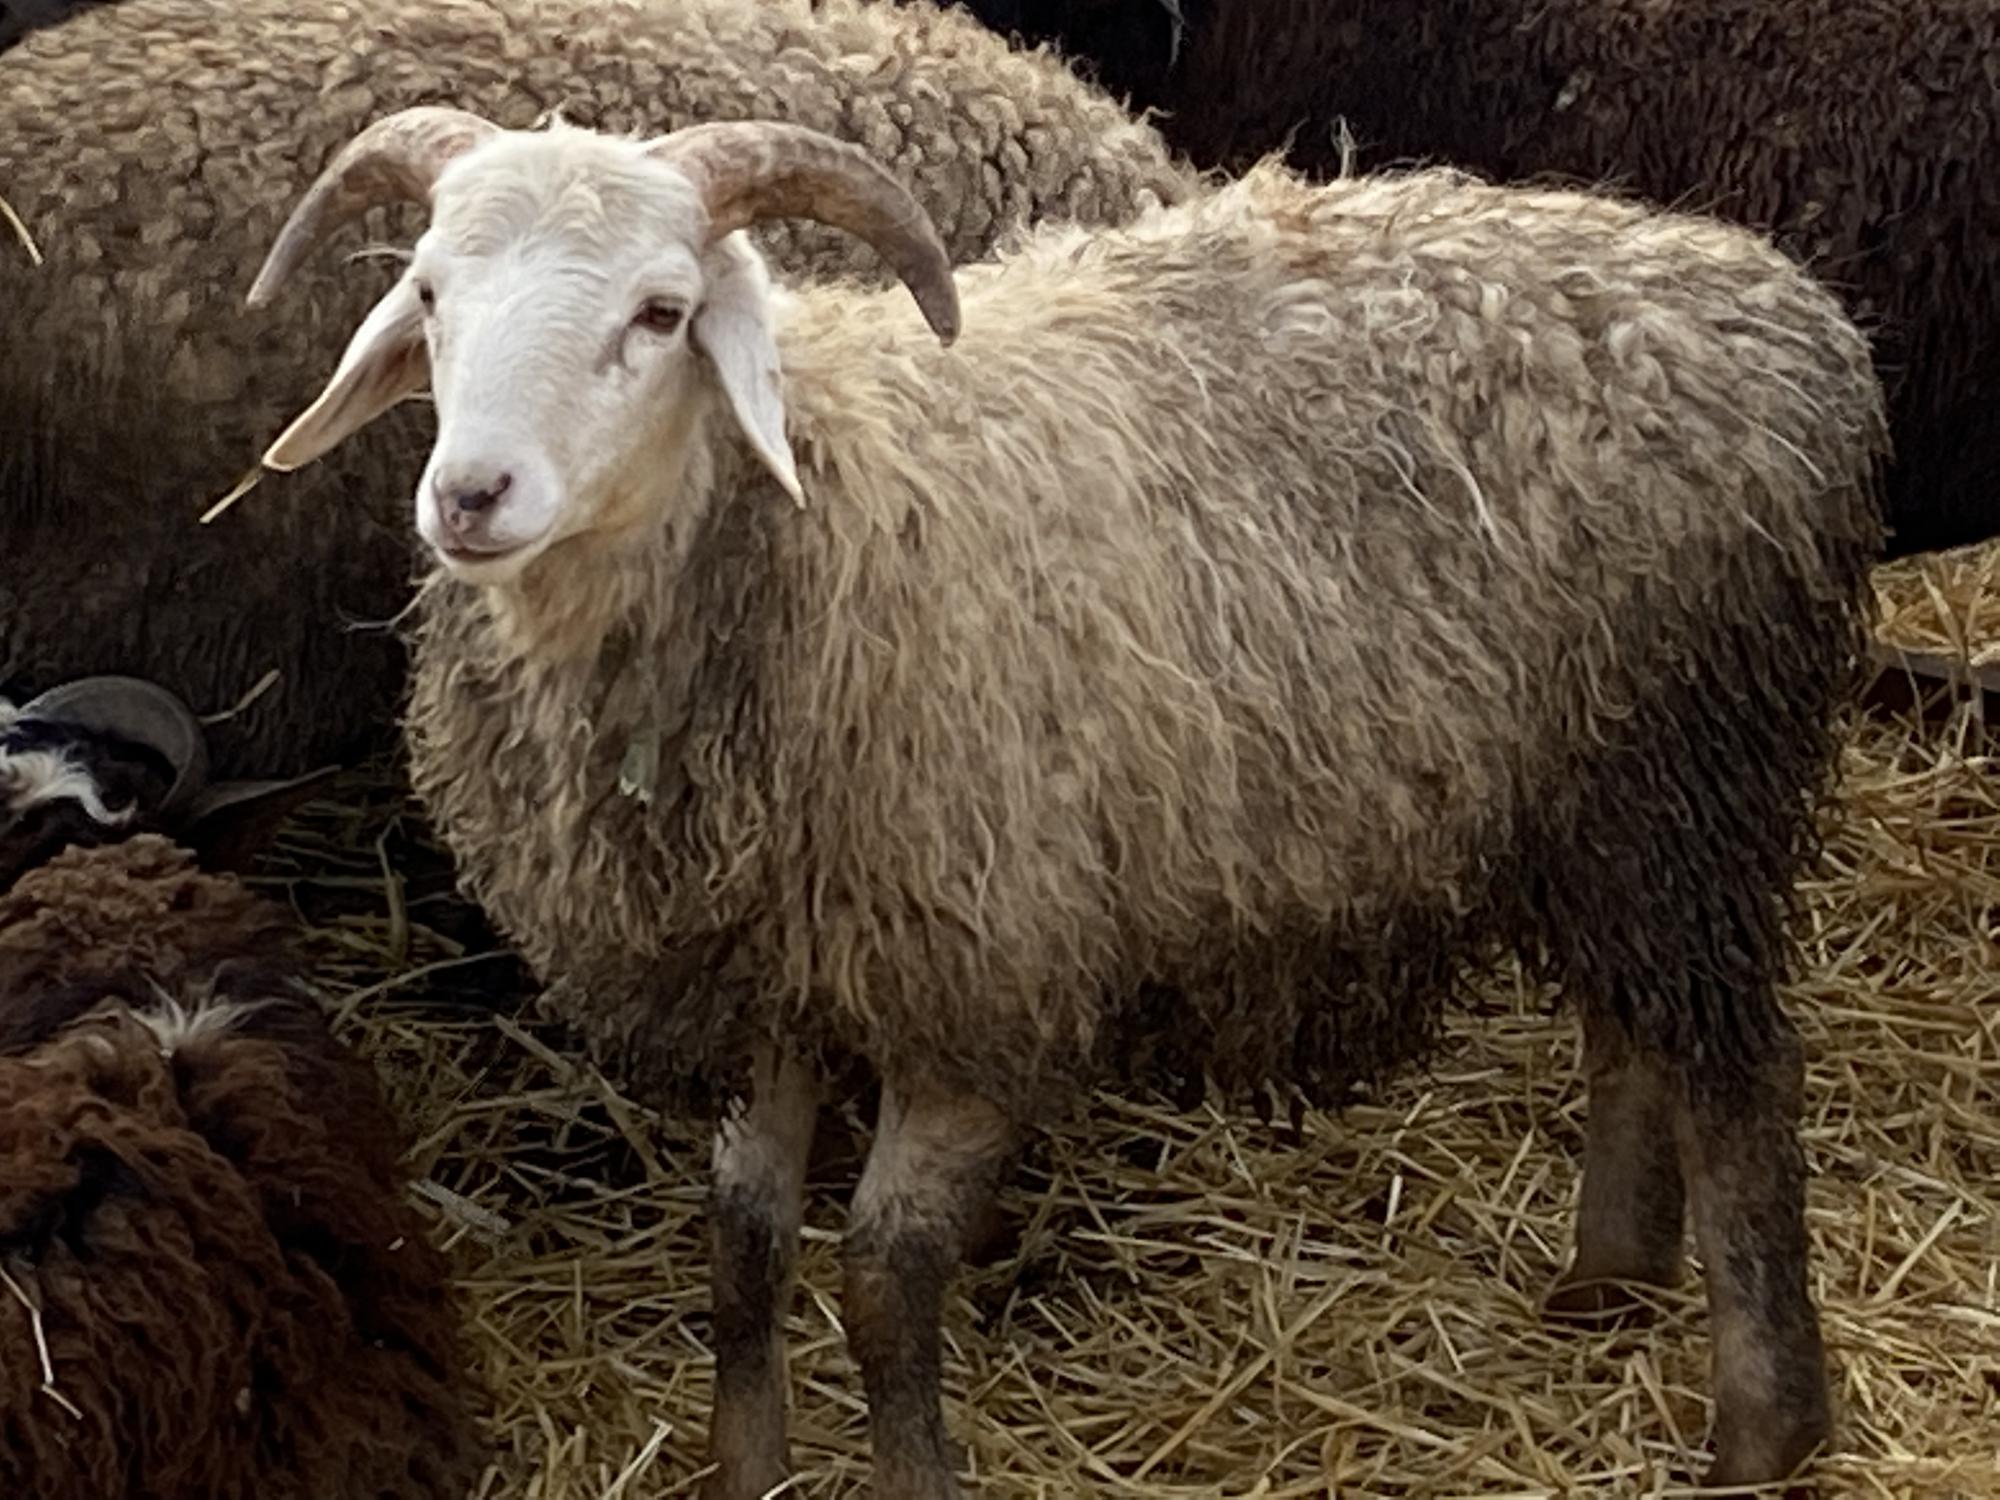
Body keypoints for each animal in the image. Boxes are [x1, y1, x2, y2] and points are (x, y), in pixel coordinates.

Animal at [242, 108, 1880, 1500]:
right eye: (430, 294)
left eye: (658, 313)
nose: (471, 498)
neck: (806, 511)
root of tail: (1774, 304)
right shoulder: (773, 972)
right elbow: (745, 1243)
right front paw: (748, 1466)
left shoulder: (979, 972)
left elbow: (883, 1277)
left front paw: (909, 1474)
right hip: (1592, 795)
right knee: (1629, 1029)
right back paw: (1609, 1277)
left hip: (1686, 771)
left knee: (1735, 1076)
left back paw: (1763, 1426)